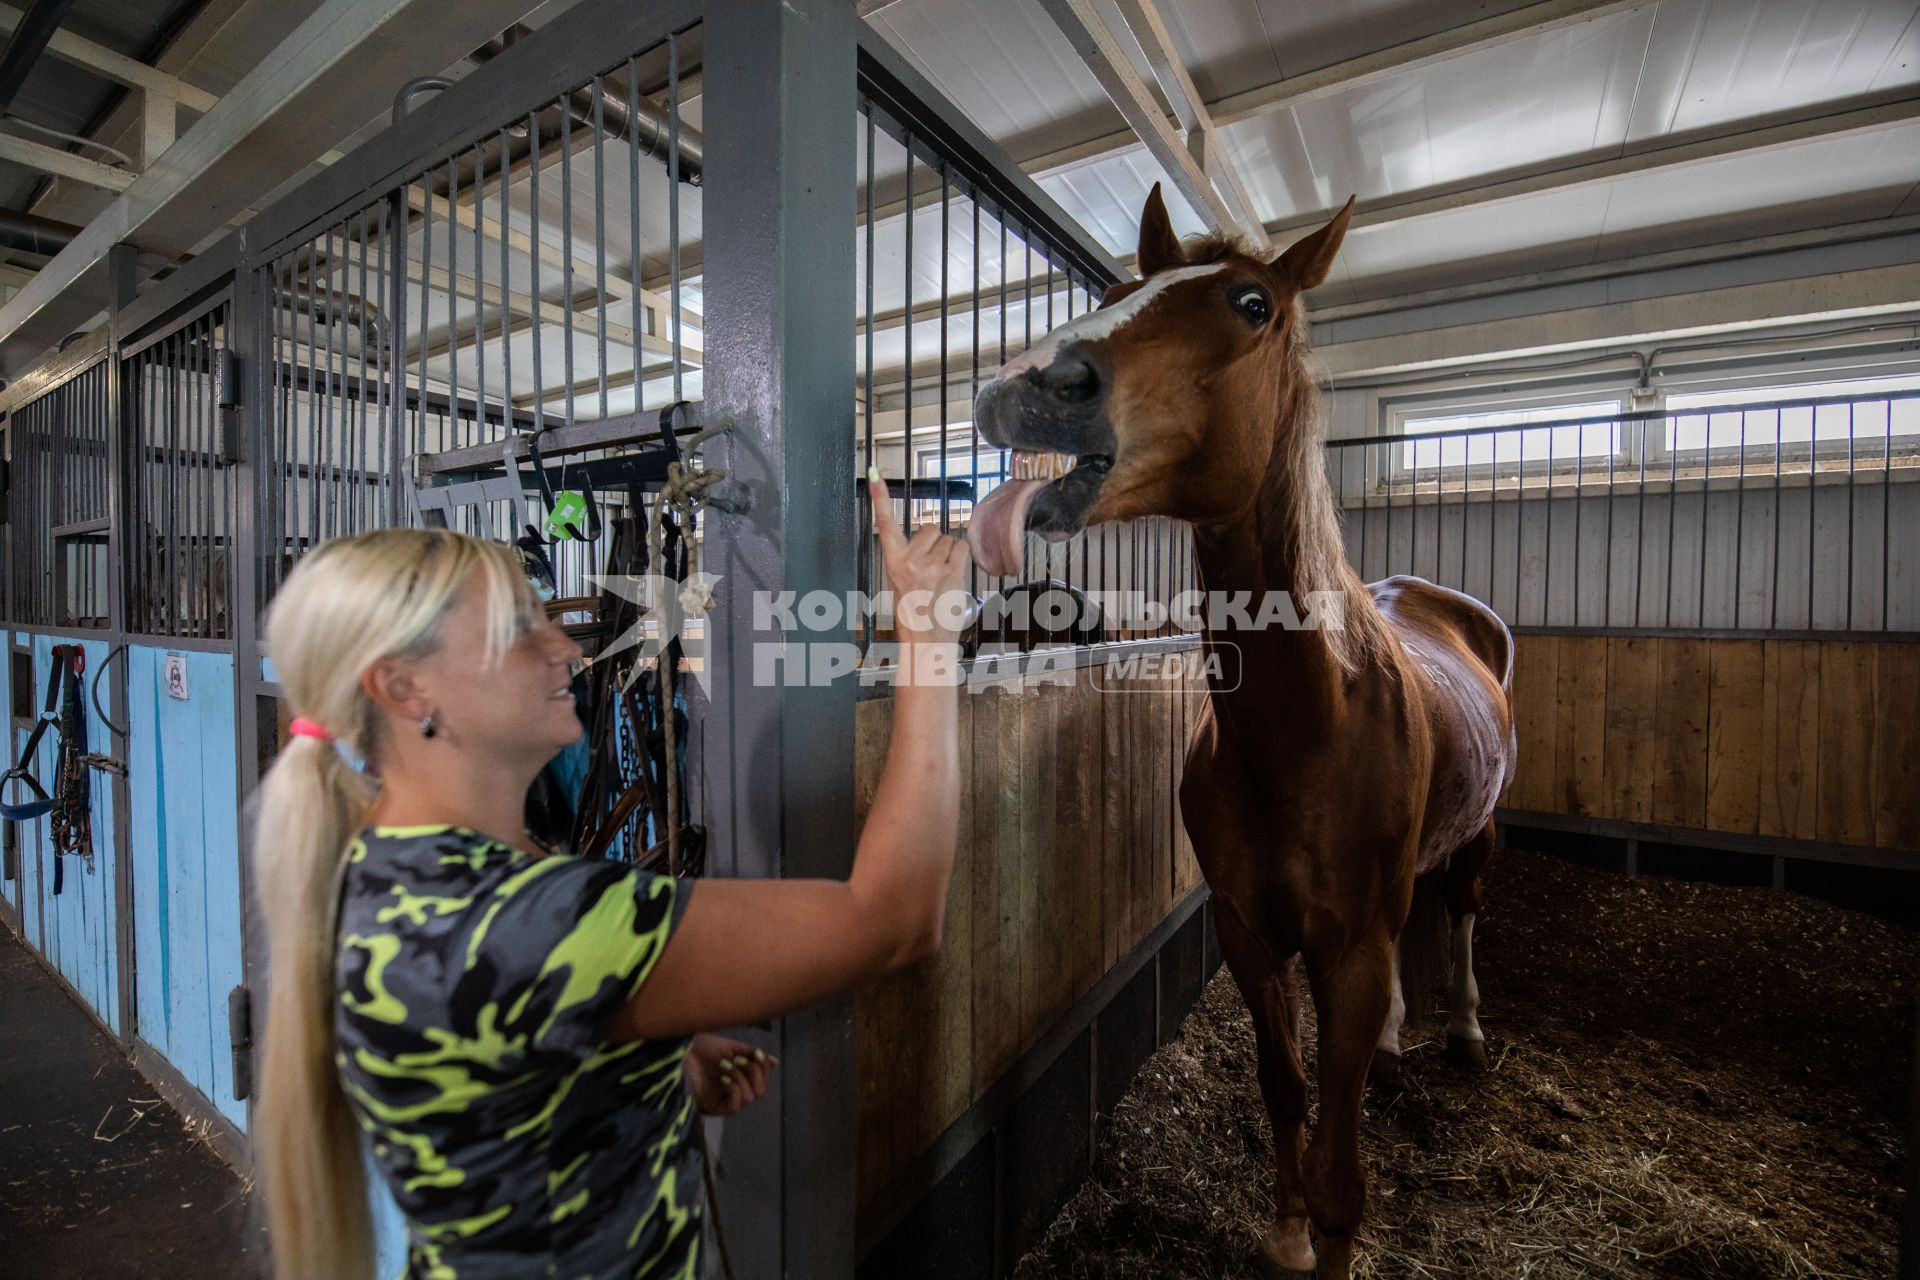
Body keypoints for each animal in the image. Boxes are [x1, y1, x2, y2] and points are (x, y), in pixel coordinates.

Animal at [975, 189, 1512, 1280]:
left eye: (1253, 304)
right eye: (1118, 290)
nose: (1027, 388)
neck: (1307, 735)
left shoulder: (1351, 951)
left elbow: (1345, 1166)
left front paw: (1323, 1226)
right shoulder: (1251, 934)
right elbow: (1286, 1086)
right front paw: (1285, 1227)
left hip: (1476, 838)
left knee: (1464, 912)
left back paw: (1468, 1031)